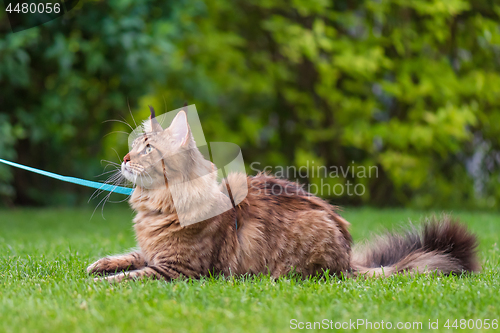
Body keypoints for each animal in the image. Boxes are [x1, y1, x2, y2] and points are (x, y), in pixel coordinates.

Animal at [88, 107, 478, 282]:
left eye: (147, 149)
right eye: (135, 145)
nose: (125, 158)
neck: (160, 206)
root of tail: (349, 259)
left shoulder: (177, 270)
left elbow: (131, 276)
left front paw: (101, 284)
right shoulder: (153, 252)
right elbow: (131, 255)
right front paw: (100, 264)